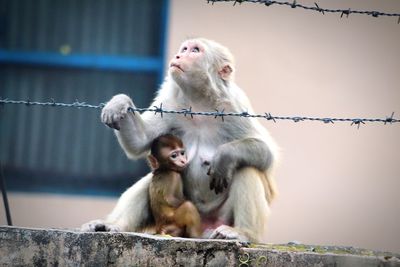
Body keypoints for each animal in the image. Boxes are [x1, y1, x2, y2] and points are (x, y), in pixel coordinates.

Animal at [82, 38, 278, 244]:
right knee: (157, 175)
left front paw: (225, 156)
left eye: (195, 50)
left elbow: (268, 154)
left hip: (218, 218)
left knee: (247, 169)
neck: (200, 103)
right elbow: (140, 142)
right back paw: (112, 225)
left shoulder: (235, 107)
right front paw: (119, 102)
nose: (178, 56)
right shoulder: (169, 104)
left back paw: (242, 232)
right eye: (184, 49)